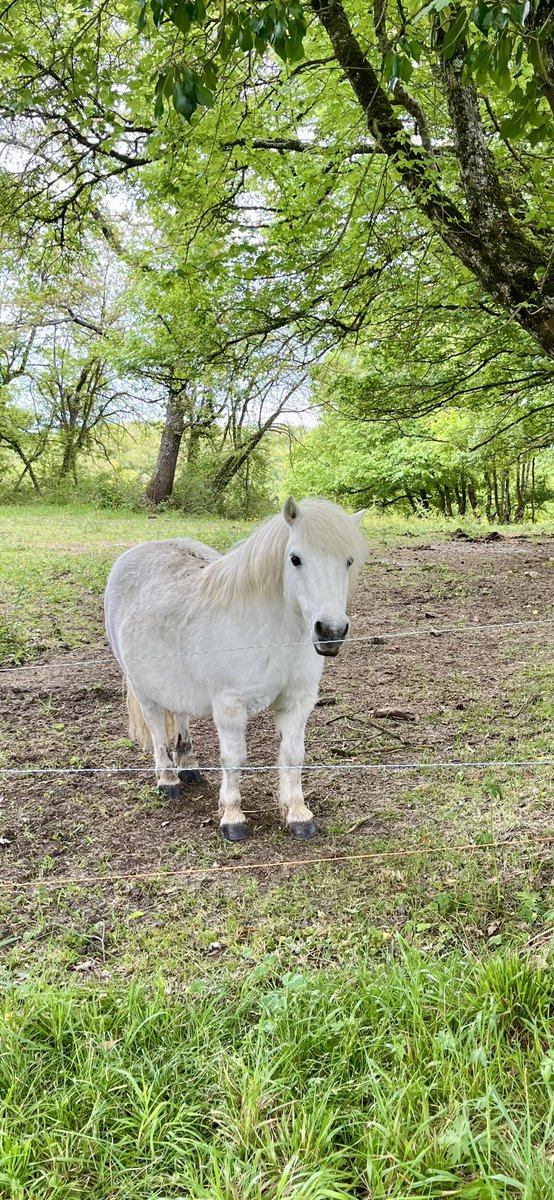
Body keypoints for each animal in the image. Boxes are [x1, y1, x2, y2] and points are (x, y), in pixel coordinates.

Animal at [104, 496, 366, 844]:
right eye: (295, 559)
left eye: (348, 561)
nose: (331, 631)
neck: (271, 632)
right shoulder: (230, 707)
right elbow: (233, 758)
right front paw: (232, 818)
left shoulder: (297, 702)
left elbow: (294, 754)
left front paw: (298, 815)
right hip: (141, 686)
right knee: (157, 727)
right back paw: (168, 780)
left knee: (181, 717)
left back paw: (188, 767)